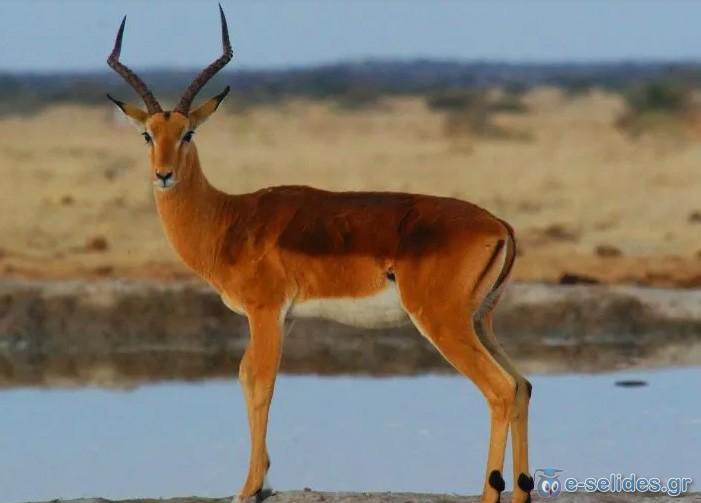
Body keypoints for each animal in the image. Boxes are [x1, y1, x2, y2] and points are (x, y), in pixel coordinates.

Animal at [106, 6, 533, 503]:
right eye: (147, 135)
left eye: (188, 133)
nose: (164, 174)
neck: (229, 220)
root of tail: (499, 225)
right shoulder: (283, 317)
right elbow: (248, 377)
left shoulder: (266, 311)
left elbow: (259, 383)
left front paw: (250, 486)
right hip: (480, 321)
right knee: (521, 385)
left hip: (443, 322)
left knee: (499, 390)